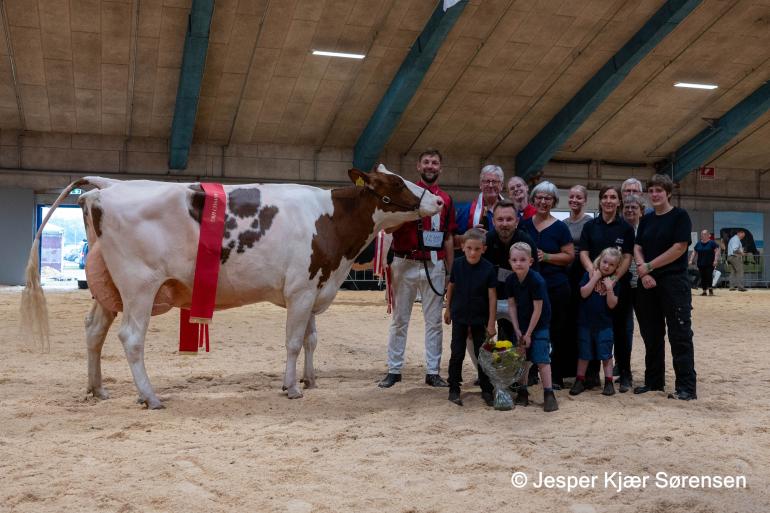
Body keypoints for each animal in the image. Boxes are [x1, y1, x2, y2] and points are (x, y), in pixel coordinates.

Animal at [21, 164, 440, 408]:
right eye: (395, 182)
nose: (437, 201)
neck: (332, 221)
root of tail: (105, 187)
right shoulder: (301, 289)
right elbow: (293, 341)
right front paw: (291, 387)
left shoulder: (316, 284)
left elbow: (310, 339)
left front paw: (310, 379)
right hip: (139, 284)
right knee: (131, 338)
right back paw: (150, 396)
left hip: (109, 288)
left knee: (94, 330)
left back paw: (97, 389)